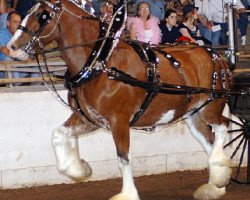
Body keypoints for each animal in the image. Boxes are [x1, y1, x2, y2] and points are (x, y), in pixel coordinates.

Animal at [8, 0, 232, 199]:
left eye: (43, 16)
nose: (11, 47)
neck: (101, 64)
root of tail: (217, 57)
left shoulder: (119, 122)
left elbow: (123, 159)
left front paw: (127, 194)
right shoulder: (88, 119)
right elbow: (58, 134)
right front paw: (79, 170)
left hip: (210, 108)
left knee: (223, 126)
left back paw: (219, 173)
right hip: (193, 116)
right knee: (209, 142)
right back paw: (215, 185)